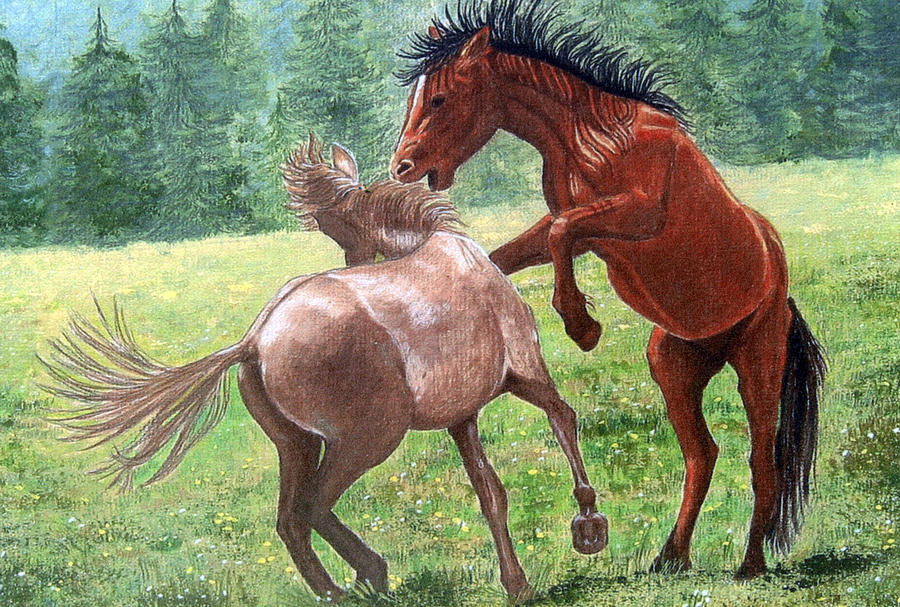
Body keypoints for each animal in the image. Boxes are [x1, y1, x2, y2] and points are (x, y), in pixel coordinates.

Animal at [39, 135, 607, 601]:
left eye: (336, 224)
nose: (355, 262)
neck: (451, 254)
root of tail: (255, 340)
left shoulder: (461, 416)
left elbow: (491, 493)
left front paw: (518, 584)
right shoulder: (525, 376)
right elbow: (564, 419)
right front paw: (589, 526)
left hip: (297, 443)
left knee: (291, 519)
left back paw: (340, 588)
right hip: (367, 439)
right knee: (312, 508)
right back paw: (372, 573)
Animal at [389, 0, 826, 579]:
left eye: (439, 98)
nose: (401, 166)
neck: (591, 138)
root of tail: (780, 289)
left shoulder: (636, 216)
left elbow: (561, 234)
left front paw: (582, 325)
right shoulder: (584, 227)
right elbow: (524, 249)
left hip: (758, 361)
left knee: (762, 461)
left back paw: (750, 564)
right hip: (673, 367)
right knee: (702, 454)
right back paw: (671, 557)